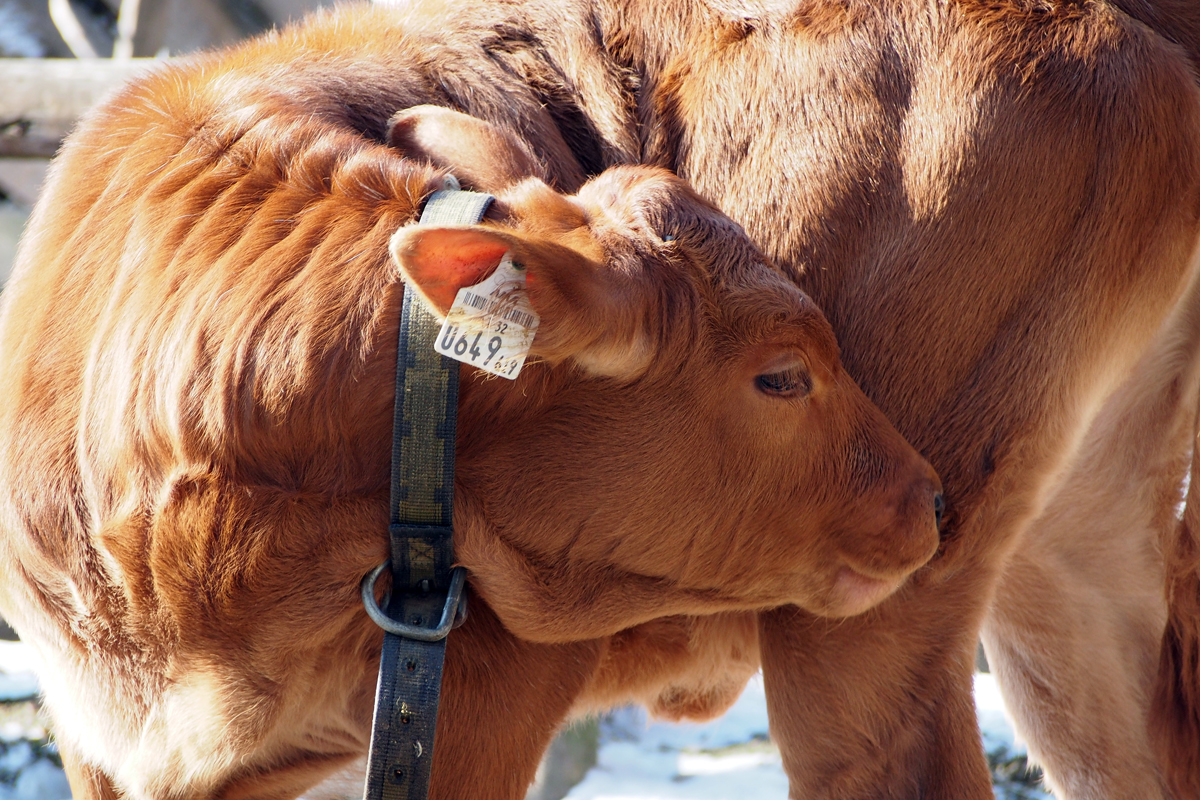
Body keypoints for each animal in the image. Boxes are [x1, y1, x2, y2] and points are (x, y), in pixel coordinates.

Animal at [7, 1, 1200, 800]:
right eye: (781, 373)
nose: (930, 499)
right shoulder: (98, 741)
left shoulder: (483, 697)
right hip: (1070, 574)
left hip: (869, 642)